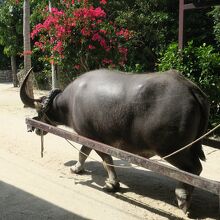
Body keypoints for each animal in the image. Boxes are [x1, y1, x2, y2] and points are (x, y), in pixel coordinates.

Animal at [20, 68, 210, 213]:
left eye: (40, 110)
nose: (35, 129)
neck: (69, 103)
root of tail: (191, 88)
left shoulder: (95, 138)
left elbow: (106, 160)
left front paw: (112, 184)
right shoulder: (88, 137)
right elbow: (83, 153)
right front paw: (77, 168)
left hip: (173, 149)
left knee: (193, 169)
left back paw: (183, 198)